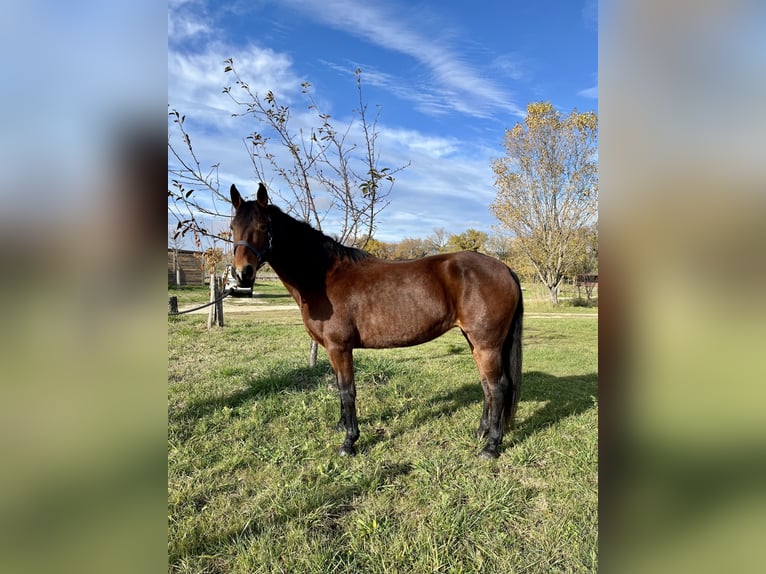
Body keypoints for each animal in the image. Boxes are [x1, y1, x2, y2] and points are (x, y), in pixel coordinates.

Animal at [229, 183, 523, 459]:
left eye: (263, 225)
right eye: (232, 226)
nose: (242, 273)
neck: (323, 276)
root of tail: (505, 269)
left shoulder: (340, 348)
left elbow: (347, 391)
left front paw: (349, 442)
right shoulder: (333, 350)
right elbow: (339, 388)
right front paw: (341, 426)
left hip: (487, 344)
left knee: (498, 387)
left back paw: (491, 446)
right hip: (475, 342)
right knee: (486, 385)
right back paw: (481, 432)